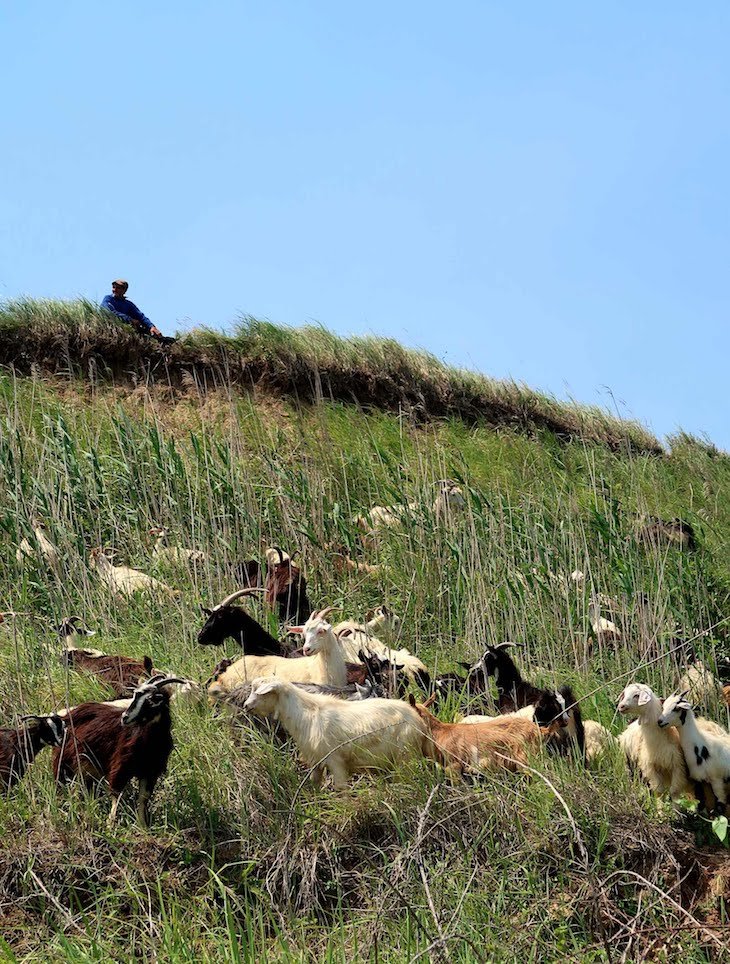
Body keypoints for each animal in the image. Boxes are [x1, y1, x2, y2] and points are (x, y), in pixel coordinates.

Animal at [54, 676, 185, 824]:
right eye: (134, 696)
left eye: (151, 700)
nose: (124, 717)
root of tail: (67, 715)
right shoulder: (120, 766)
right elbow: (116, 795)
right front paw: (110, 824)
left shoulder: (150, 771)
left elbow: (143, 798)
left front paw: (142, 824)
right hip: (64, 762)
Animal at [242, 676, 430, 788]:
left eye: (263, 693)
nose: (246, 705)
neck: (305, 712)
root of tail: (418, 720)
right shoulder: (315, 761)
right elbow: (314, 785)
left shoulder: (336, 761)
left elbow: (341, 790)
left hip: (405, 756)